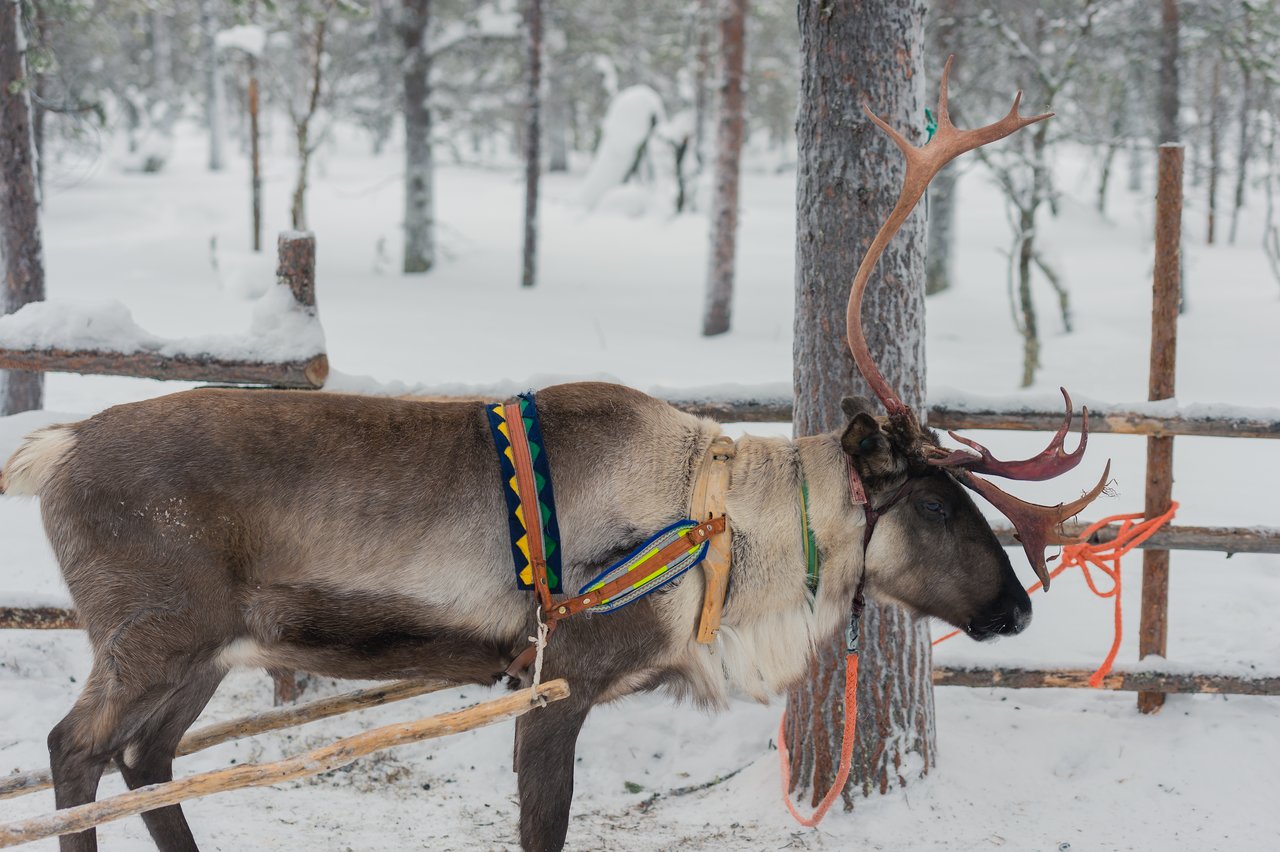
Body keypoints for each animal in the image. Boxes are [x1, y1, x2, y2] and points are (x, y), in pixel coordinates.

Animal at [1, 61, 1107, 852]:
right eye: (938, 502)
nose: (1017, 610)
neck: (720, 530)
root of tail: (53, 448)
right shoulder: (557, 683)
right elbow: (544, 827)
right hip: (153, 633)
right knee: (74, 752)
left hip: (209, 647)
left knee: (145, 760)